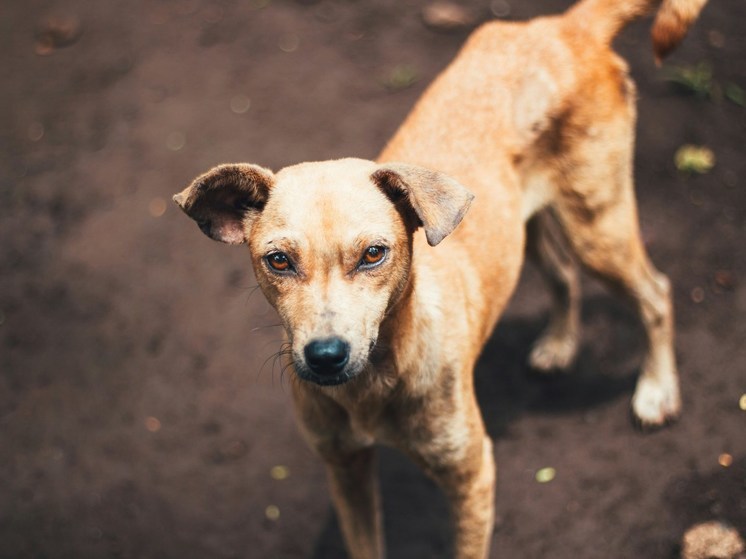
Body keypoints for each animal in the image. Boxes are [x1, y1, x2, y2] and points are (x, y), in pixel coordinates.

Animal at [171, 2, 708, 556]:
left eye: (373, 254)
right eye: (278, 260)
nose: (325, 356)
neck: (377, 381)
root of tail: (565, 25)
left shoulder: (471, 475)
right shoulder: (345, 470)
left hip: (597, 227)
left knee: (657, 293)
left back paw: (656, 391)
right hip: (525, 228)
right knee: (564, 275)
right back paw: (560, 344)